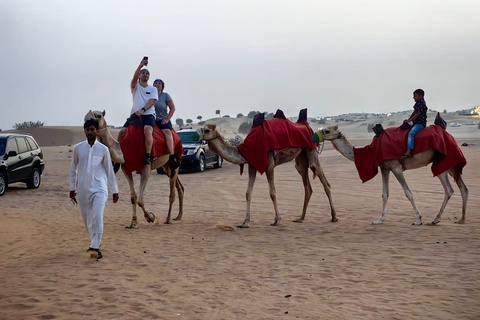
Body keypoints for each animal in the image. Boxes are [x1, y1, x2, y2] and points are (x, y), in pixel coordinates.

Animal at [200, 122, 338, 228]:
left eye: (206, 130)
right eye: (201, 129)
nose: (199, 138)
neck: (245, 150)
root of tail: (308, 127)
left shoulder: (269, 166)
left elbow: (272, 193)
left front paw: (277, 220)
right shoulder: (252, 166)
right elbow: (248, 193)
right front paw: (245, 223)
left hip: (310, 149)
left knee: (320, 175)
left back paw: (334, 217)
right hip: (301, 156)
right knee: (306, 182)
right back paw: (301, 218)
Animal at [316, 125, 466, 225]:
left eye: (327, 130)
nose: (316, 134)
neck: (371, 151)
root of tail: (449, 136)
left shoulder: (396, 167)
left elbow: (408, 193)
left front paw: (418, 219)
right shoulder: (385, 168)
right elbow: (385, 194)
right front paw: (379, 219)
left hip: (445, 160)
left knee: (454, 188)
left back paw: (448, 219)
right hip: (444, 164)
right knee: (455, 188)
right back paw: (446, 219)